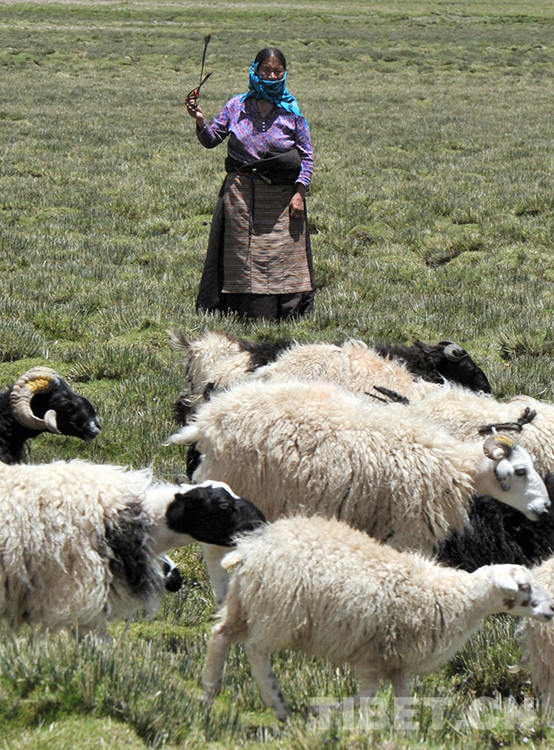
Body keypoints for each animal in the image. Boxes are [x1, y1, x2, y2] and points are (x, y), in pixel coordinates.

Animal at [165, 378, 548, 604]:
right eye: (520, 471)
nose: (544, 509)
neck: (454, 464)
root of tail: (206, 421)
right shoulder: (408, 529)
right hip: (235, 483)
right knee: (213, 552)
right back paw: (224, 597)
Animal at [203, 516, 552, 724]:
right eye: (524, 587)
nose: (550, 610)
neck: (453, 596)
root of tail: (253, 546)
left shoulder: (397, 660)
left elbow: (402, 699)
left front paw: (404, 731)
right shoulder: (376, 654)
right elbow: (366, 696)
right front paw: (322, 710)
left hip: (245, 603)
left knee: (220, 634)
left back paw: (211, 690)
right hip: (279, 612)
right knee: (256, 651)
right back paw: (278, 703)